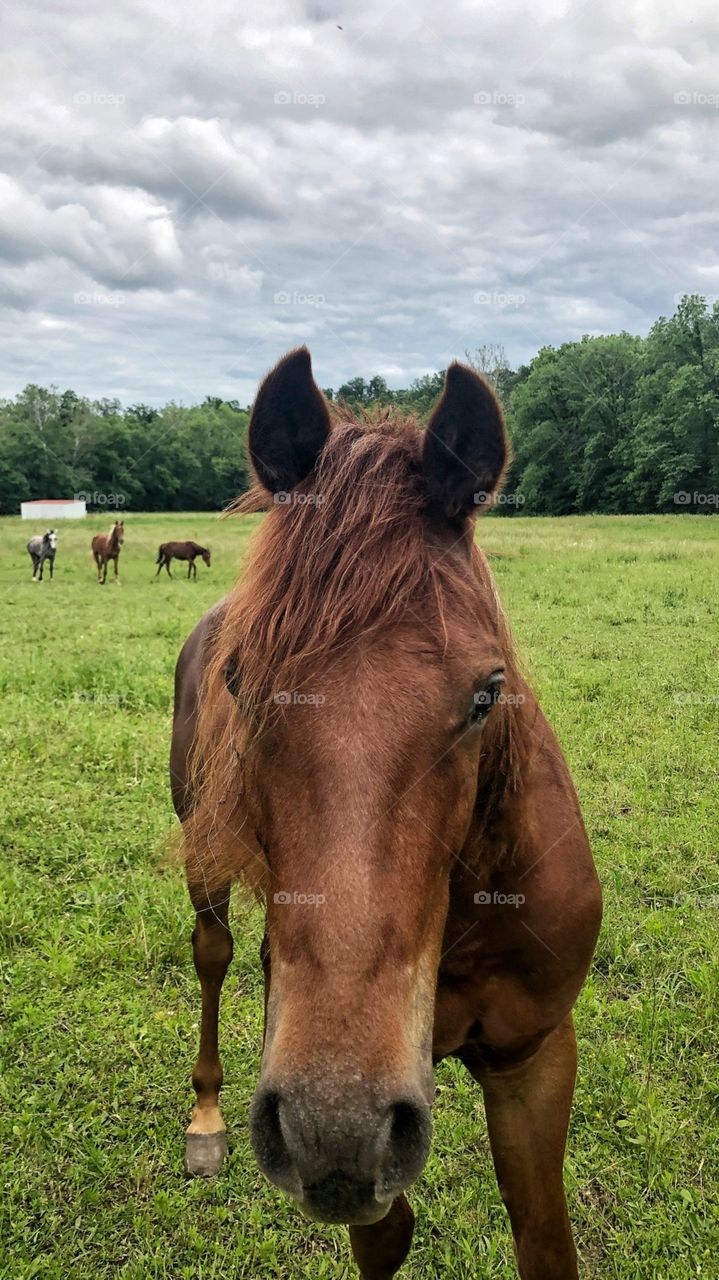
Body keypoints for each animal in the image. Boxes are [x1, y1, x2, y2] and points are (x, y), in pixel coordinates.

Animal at [170, 349, 602, 1280]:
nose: (334, 1122)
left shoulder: (533, 1056)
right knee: (212, 954)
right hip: (202, 853)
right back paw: (205, 1121)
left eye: (486, 693)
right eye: (238, 682)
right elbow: (387, 1236)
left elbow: (544, 1242)